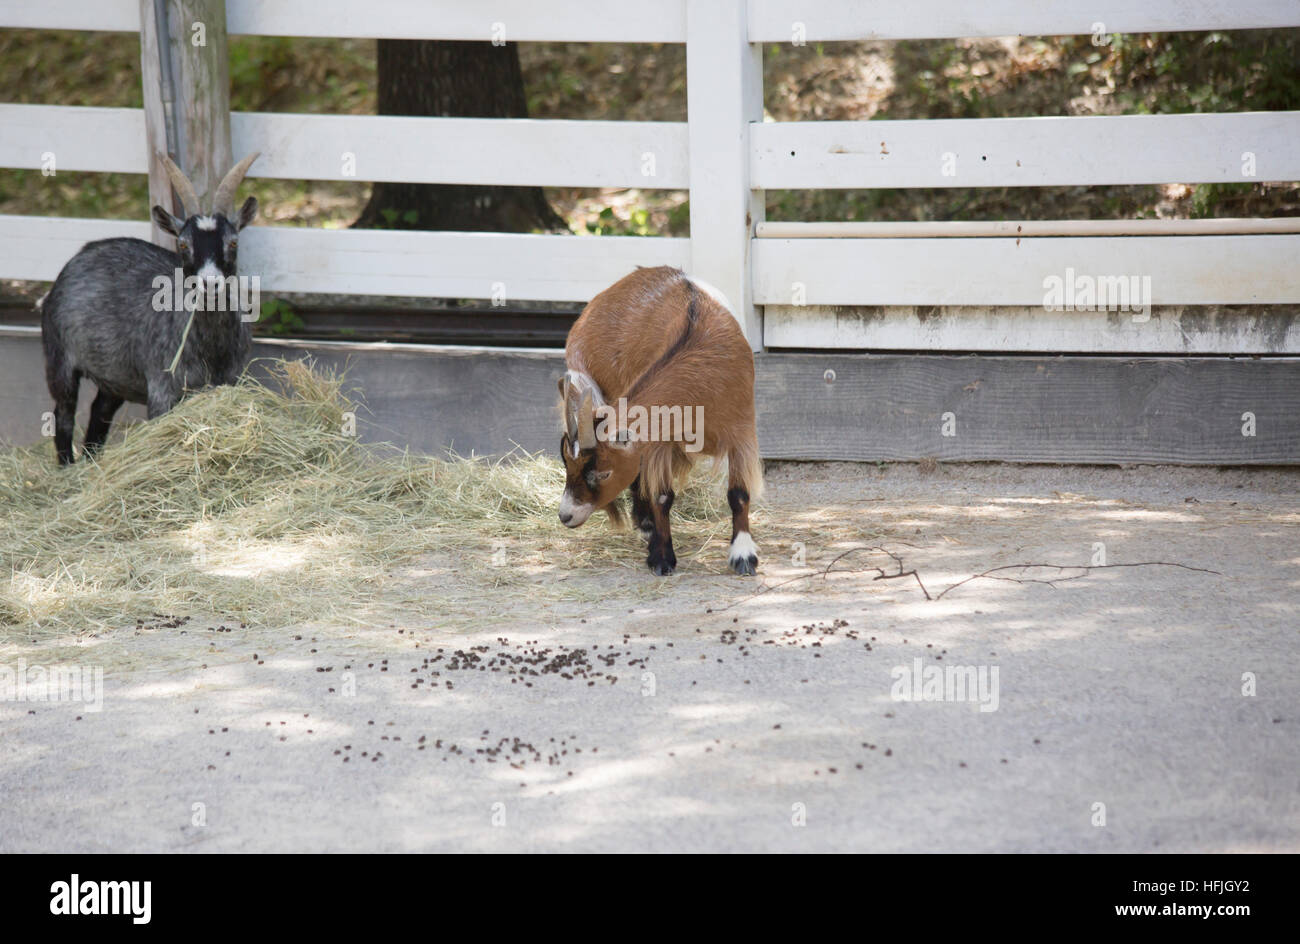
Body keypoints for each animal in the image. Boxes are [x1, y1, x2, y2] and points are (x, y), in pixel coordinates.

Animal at [40, 152, 260, 465]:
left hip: (114, 375)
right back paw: (68, 468)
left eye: (233, 242)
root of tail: (79, 257)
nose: (210, 283)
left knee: (99, 411)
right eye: (183, 244)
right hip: (58, 359)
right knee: (63, 414)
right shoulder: (161, 391)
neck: (210, 348)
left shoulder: (231, 380)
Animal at [557, 266, 763, 576]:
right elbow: (662, 496)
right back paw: (646, 524)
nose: (565, 515)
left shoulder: (741, 432)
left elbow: (738, 494)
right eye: (566, 463)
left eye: (603, 473)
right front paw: (662, 557)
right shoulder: (661, 441)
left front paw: (743, 555)